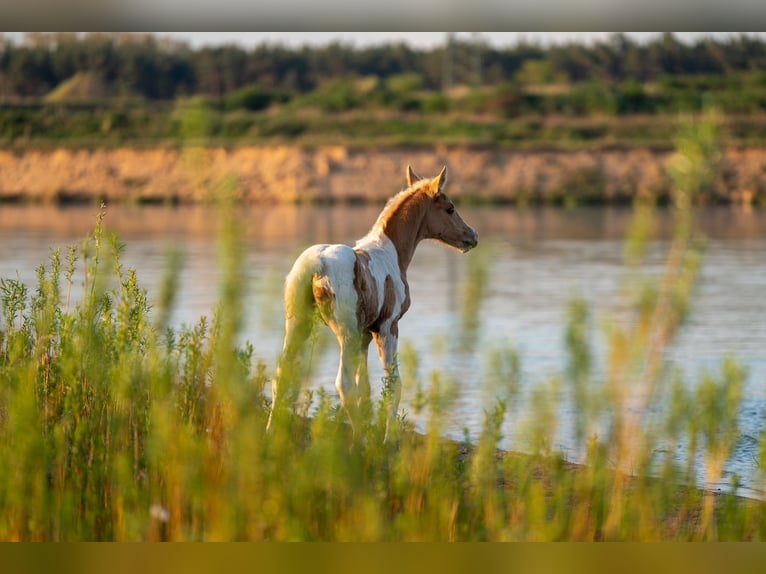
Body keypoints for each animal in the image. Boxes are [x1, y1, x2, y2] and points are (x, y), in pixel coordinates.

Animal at [268, 166, 476, 440]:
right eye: (450, 208)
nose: (472, 236)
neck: (390, 253)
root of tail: (318, 263)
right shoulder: (388, 328)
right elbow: (393, 385)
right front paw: (388, 439)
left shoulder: (365, 335)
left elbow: (364, 388)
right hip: (345, 334)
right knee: (343, 384)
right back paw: (358, 439)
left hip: (298, 325)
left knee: (282, 374)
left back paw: (269, 431)